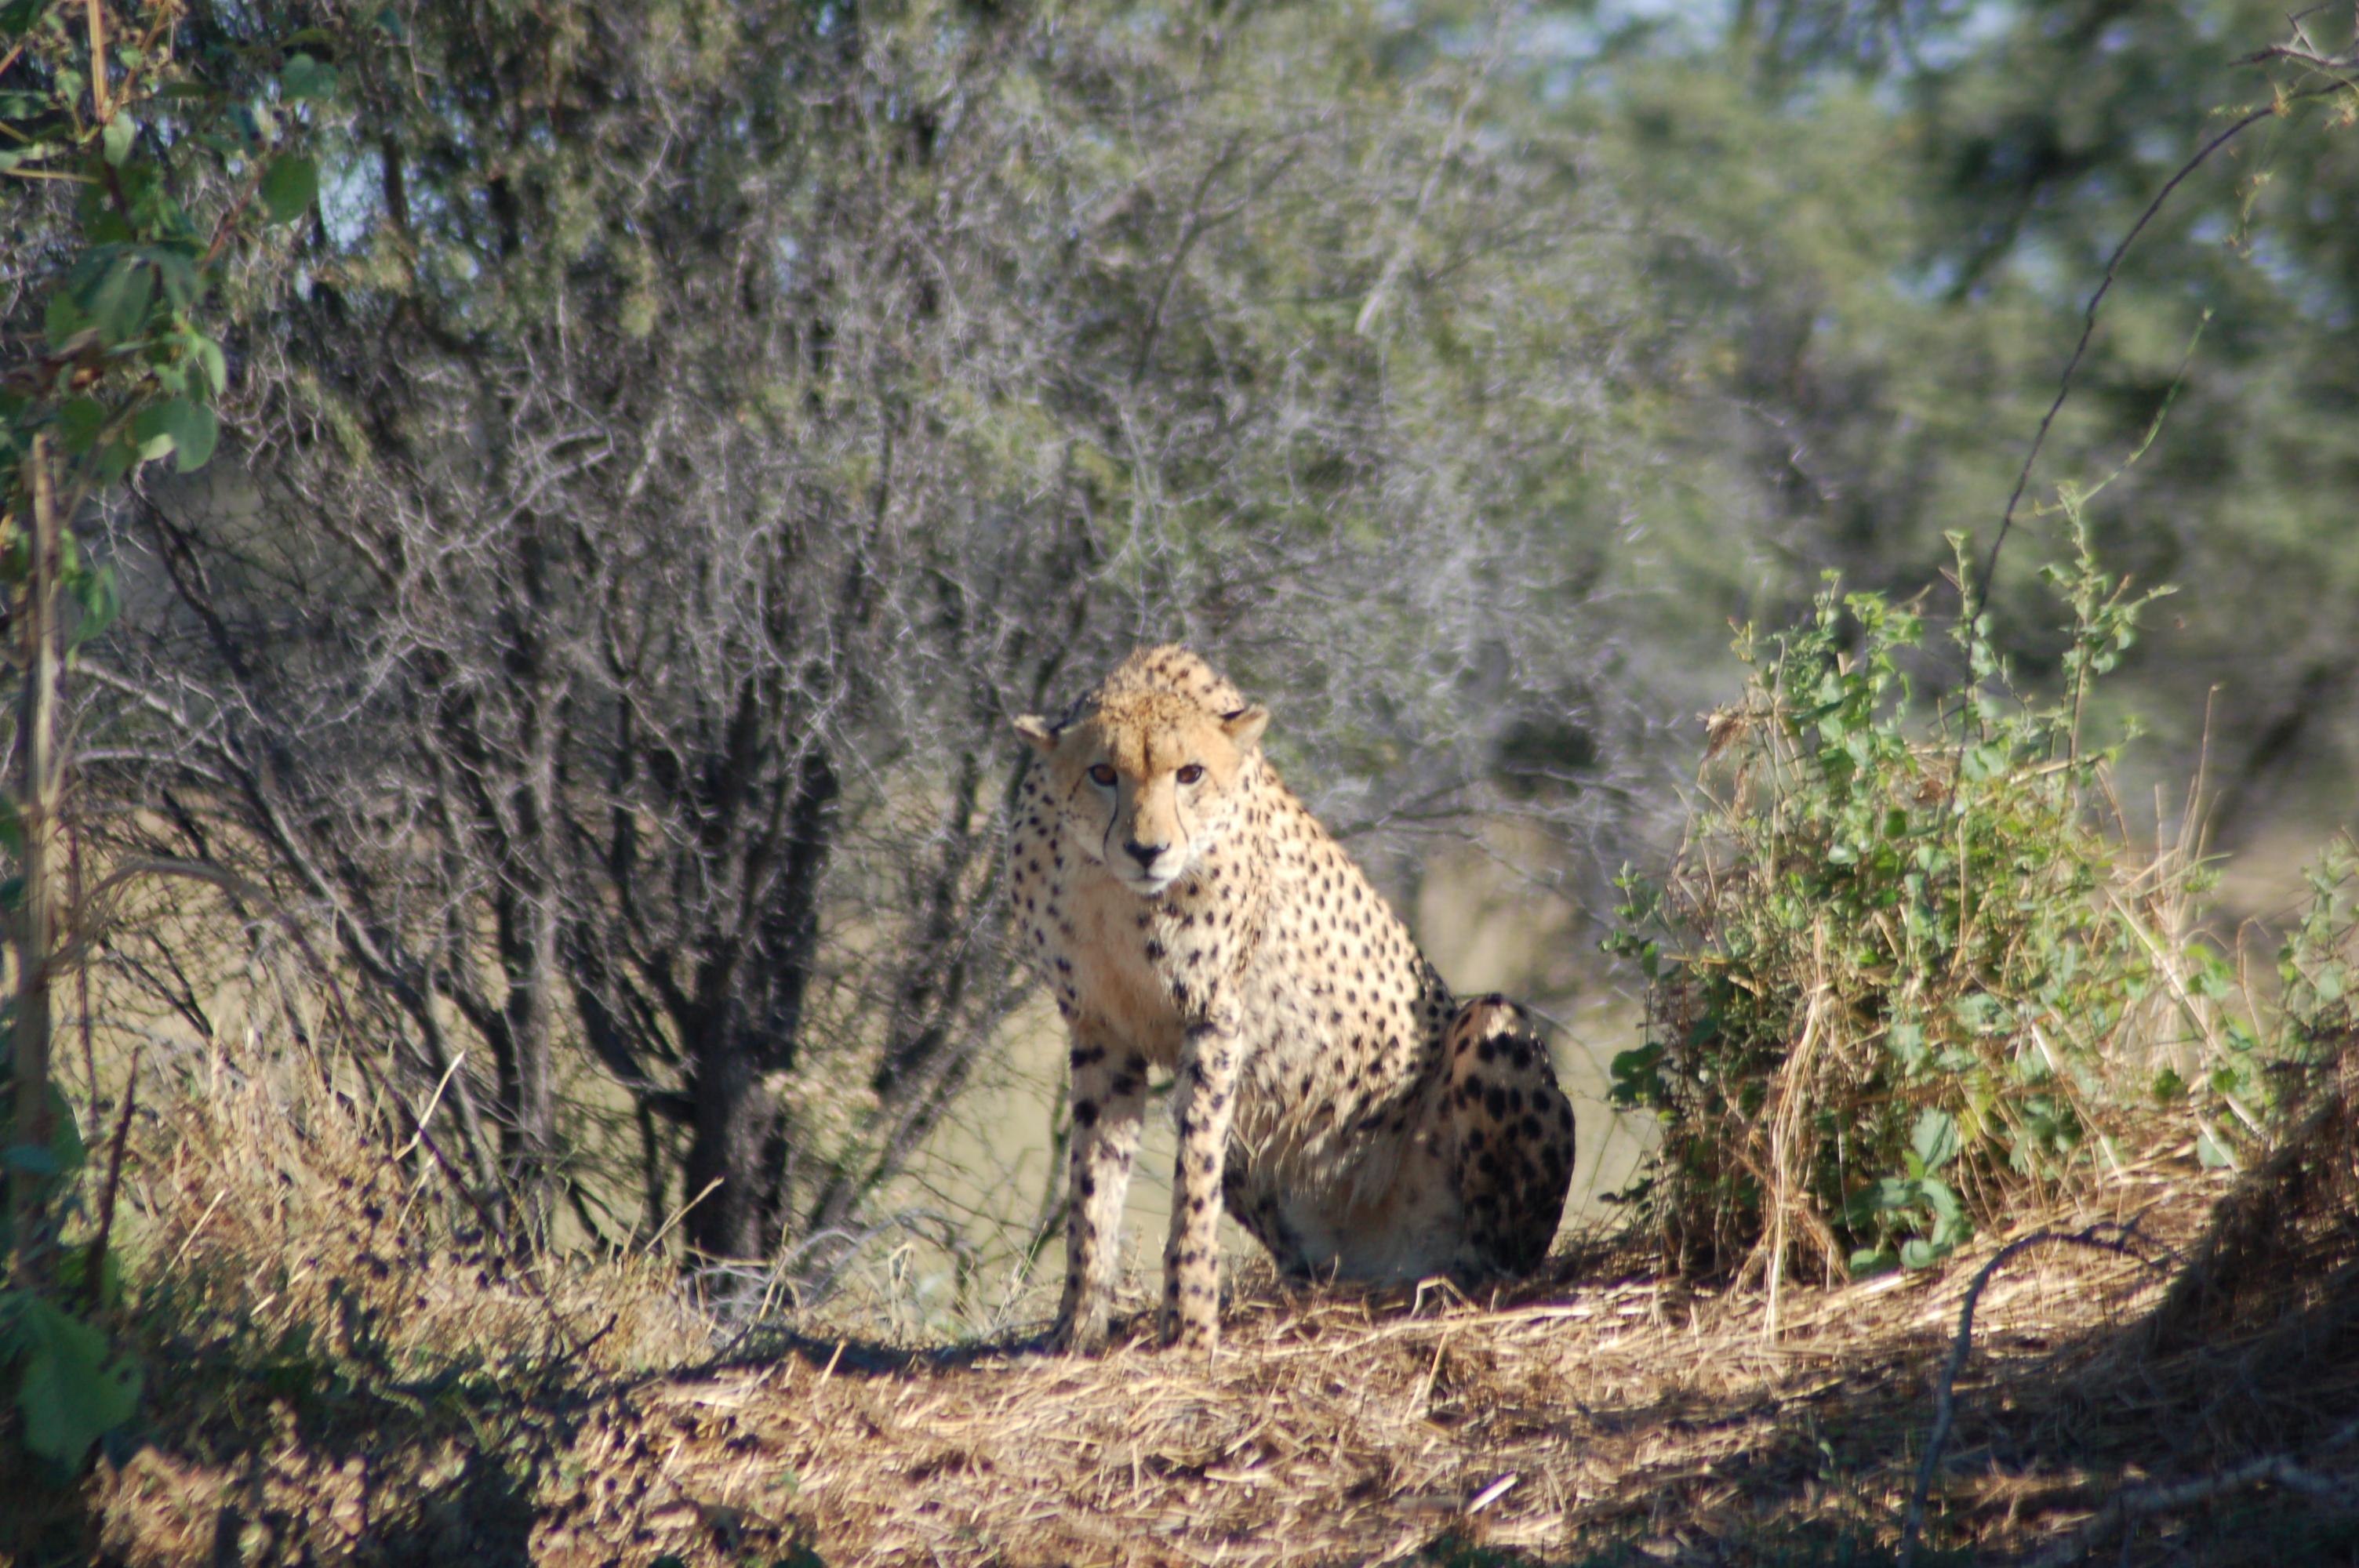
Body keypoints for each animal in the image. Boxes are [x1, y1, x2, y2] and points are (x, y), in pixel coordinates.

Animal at [1009, 641, 1576, 1348]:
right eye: (1102, 773)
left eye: (1190, 773)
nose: (1147, 849)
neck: (1115, 888)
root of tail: (1384, 1262)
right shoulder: (1099, 1029)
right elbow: (1093, 1184)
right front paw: (1078, 1329)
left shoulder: (1215, 1017)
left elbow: (1193, 1180)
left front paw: (1191, 1324)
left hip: (1489, 1029)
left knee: (1501, 1253)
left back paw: (1455, 1284)